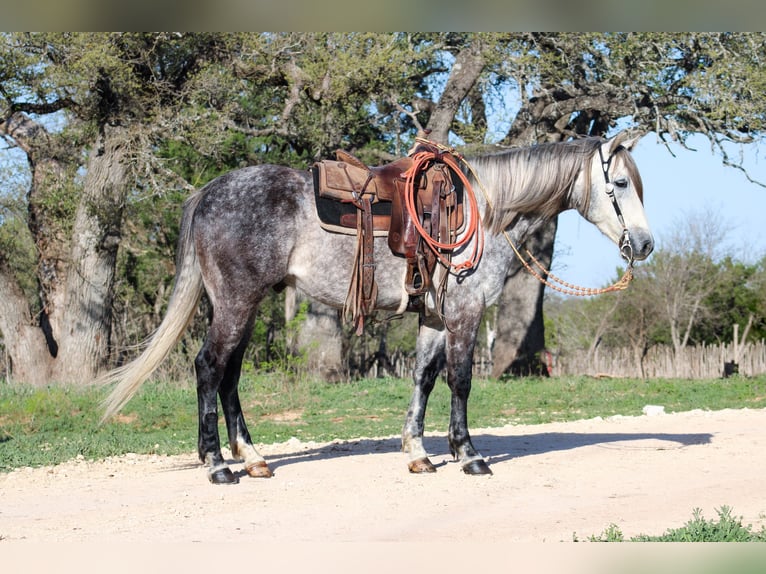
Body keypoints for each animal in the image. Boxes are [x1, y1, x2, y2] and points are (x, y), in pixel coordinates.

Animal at [99, 131, 654, 484]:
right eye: (621, 184)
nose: (645, 245)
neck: (486, 210)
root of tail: (209, 191)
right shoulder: (466, 313)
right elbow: (460, 381)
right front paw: (469, 454)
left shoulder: (434, 316)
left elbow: (424, 378)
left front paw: (419, 453)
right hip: (237, 304)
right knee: (209, 368)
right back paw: (217, 465)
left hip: (242, 305)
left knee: (229, 375)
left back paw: (253, 459)